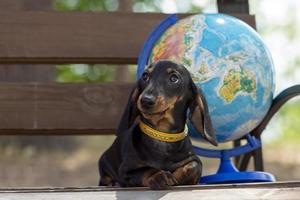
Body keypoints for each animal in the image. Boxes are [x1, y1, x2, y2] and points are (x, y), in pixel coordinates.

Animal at [98, 60, 218, 190]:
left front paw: (177, 177)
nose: (145, 100)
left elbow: (194, 166)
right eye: (145, 76)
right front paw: (159, 176)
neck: (162, 134)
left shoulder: (194, 160)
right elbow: (147, 169)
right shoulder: (126, 169)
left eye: (174, 78)